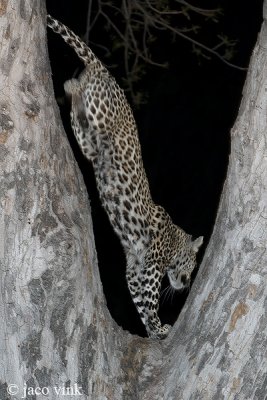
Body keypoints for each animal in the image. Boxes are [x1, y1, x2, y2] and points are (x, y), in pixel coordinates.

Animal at [47, 14, 204, 340]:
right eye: (193, 262)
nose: (185, 283)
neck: (174, 240)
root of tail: (106, 70)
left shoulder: (134, 268)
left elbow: (140, 303)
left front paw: (153, 330)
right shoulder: (151, 267)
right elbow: (150, 299)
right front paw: (159, 328)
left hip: (90, 143)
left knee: (78, 108)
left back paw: (70, 87)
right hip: (99, 118)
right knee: (79, 93)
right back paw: (71, 86)